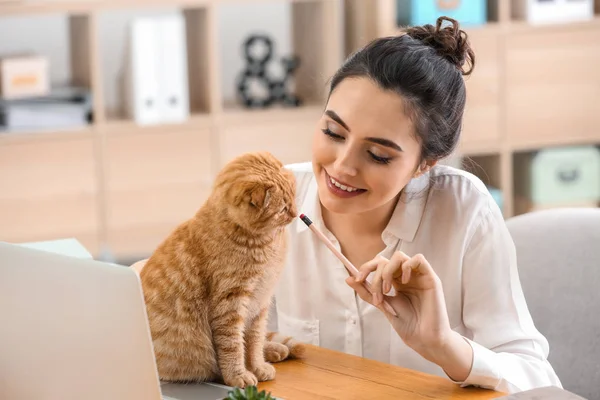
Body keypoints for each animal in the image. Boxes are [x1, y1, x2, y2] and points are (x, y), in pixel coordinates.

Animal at [139, 151, 302, 388]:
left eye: (294, 198)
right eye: (282, 209)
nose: (296, 213)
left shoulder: (260, 305)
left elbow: (254, 342)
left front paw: (258, 366)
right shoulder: (230, 302)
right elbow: (233, 345)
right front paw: (238, 375)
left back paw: (276, 350)